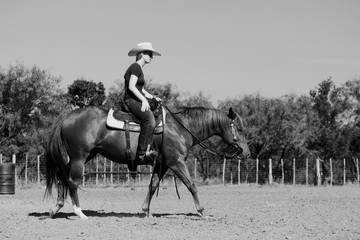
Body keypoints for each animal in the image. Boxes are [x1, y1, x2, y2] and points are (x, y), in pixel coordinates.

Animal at [45, 105, 250, 219]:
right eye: (239, 128)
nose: (246, 152)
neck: (180, 128)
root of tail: (69, 116)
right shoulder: (177, 163)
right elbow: (191, 185)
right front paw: (201, 211)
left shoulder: (163, 165)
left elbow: (152, 186)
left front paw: (146, 211)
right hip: (79, 157)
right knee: (72, 182)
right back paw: (79, 213)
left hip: (83, 156)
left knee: (61, 177)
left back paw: (56, 208)